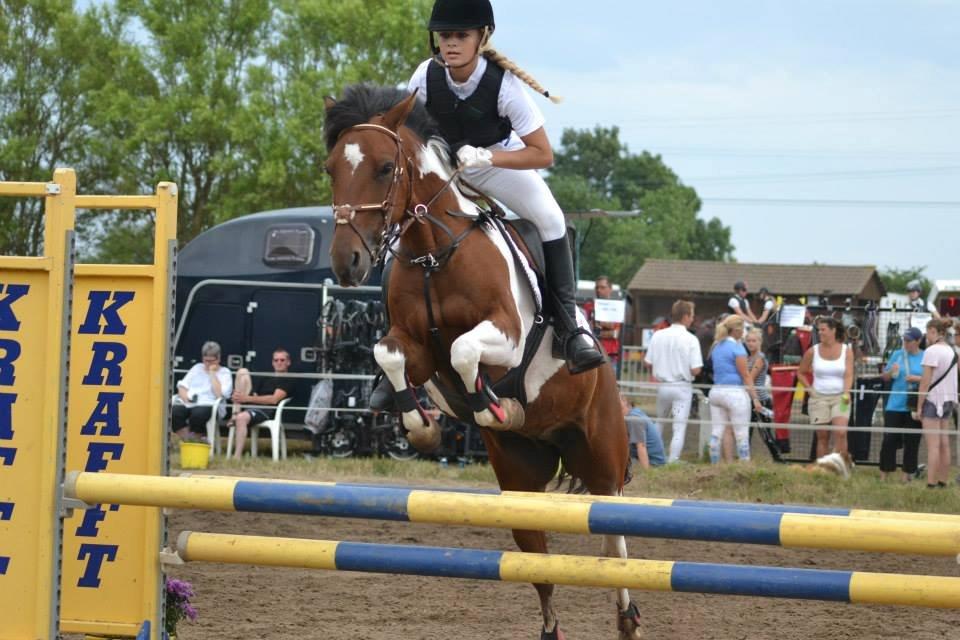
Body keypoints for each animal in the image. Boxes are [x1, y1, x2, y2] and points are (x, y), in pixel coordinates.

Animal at [323, 84, 642, 640]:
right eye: (330, 169)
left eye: (384, 168)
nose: (348, 263)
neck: (433, 252)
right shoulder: (416, 351)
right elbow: (391, 354)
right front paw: (423, 426)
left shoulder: (507, 335)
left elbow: (465, 349)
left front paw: (493, 404)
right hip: (520, 478)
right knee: (538, 562)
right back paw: (552, 627)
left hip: (601, 456)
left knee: (614, 540)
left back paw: (628, 618)